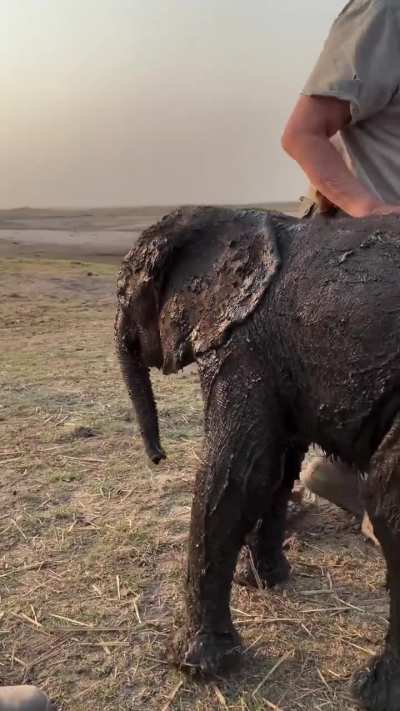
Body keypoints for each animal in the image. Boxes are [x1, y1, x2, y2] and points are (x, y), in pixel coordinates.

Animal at [115, 206, 400, 711]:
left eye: (123, 293)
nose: (158, 456)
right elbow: (278, 469)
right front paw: (264, 581)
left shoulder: (242, 346)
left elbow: (237, 472)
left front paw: (198, 668)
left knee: (388, 505)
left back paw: (369, 691)